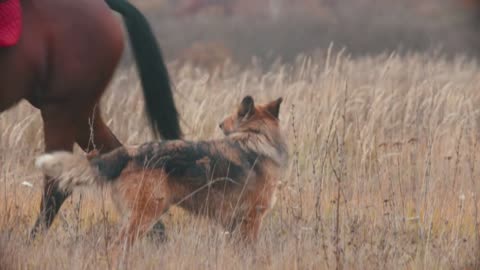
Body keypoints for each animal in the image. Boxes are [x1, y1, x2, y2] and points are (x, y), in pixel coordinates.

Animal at [35, 96, 288, 247]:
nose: (219, 124)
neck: (256, 135)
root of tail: (128, 153)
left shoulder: (236, 224)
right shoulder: (252, 219)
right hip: (144, 216)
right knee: (118, 246)